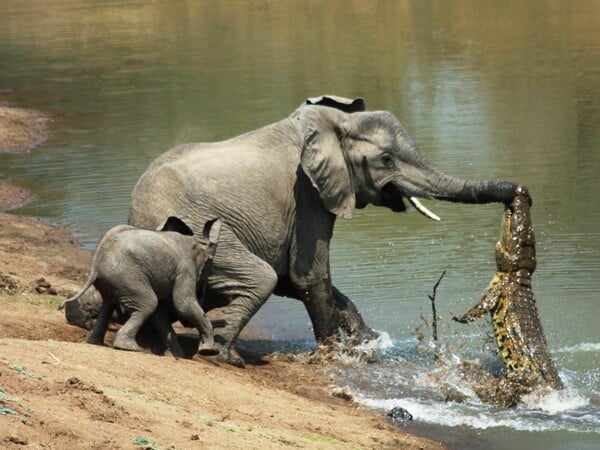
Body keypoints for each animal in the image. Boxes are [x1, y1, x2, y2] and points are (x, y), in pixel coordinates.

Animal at [59, 216, 220, 356]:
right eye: (210, 267)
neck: (197, 240)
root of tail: (95, 264)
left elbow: (160, 314)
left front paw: (177, 355)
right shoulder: (185, 269)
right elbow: (182, 304)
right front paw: (209, 351)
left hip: (113, 280)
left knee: (109, 304)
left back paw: (95, 342)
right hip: (127, 276)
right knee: (148, 303)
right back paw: (128, 348)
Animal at [129, 95, 516, 366]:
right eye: (386, 160)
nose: (518, 192)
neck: (333, 123)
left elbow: (297, 280)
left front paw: (369, 342)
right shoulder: (307, 193)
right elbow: (307, 275)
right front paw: (335, 356)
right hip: (197, 230)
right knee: (261, 277)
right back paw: (225, 357)